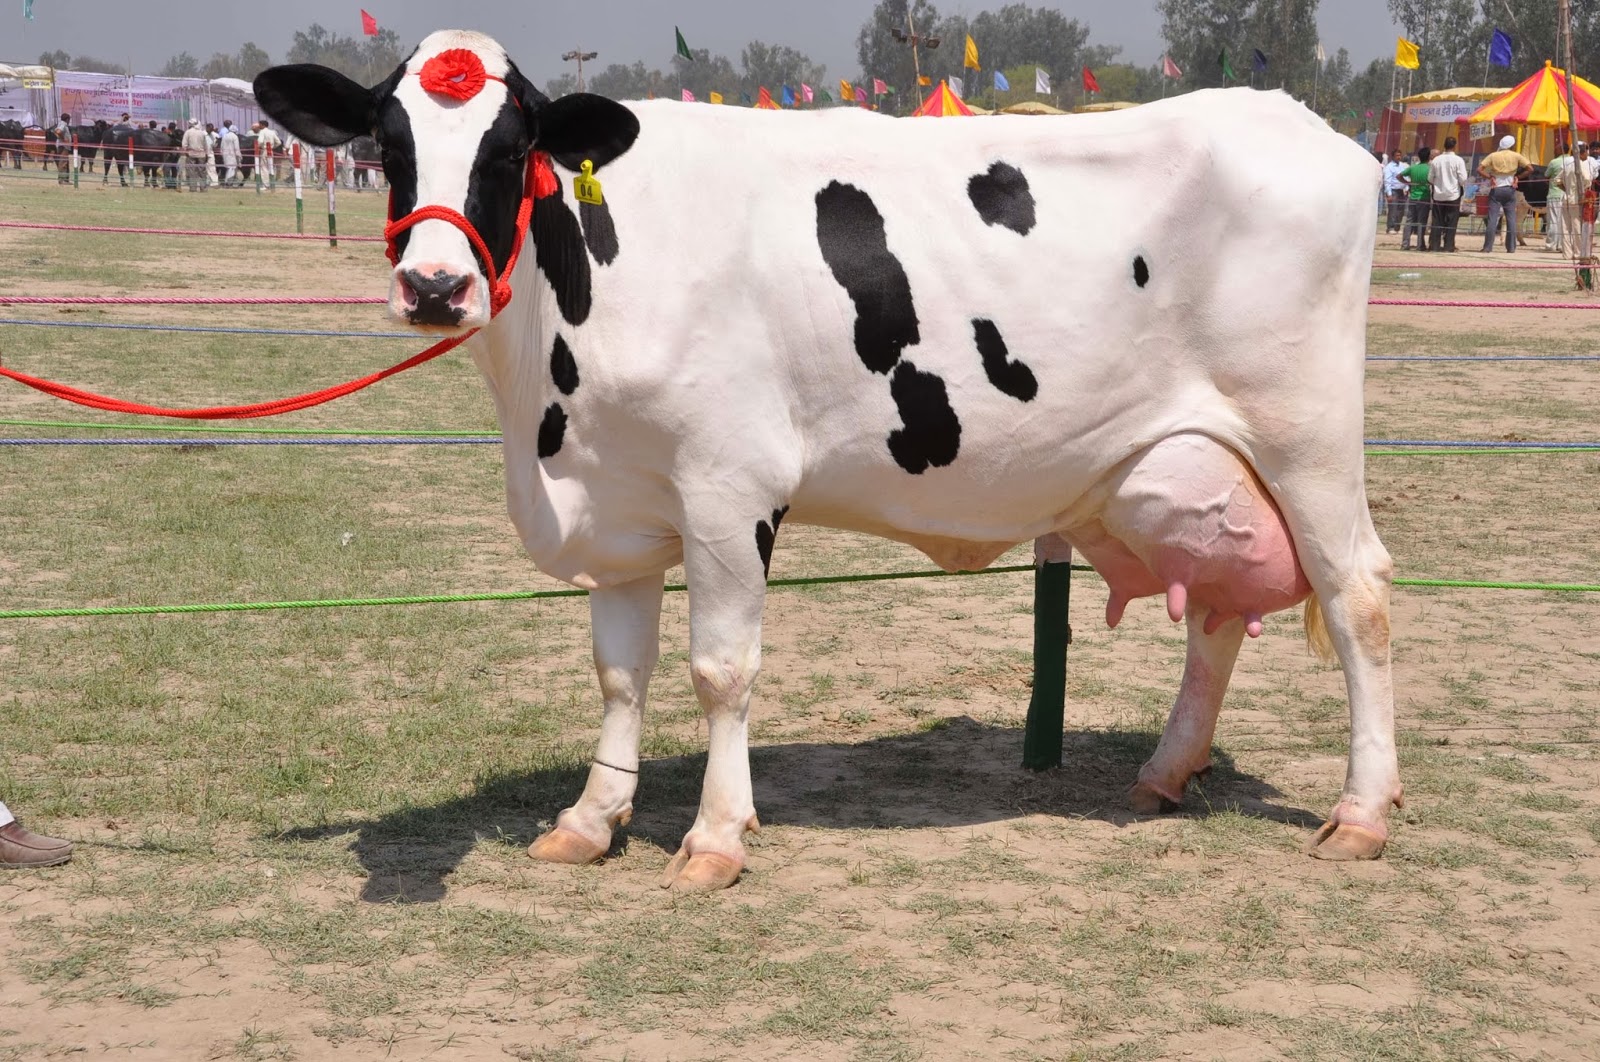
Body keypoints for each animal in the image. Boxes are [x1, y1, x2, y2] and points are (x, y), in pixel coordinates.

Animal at [253, 30, 1399, 892]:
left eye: (511, 145)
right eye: (386, 142)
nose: (434, 286)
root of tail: (1296, 122)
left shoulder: (727, 486)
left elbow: (720, 670)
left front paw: (715, 837)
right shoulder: (617, 497)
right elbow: (620, 671)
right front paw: (591, 816)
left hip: (1305, 439)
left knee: (1359, 597)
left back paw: (1361, 812)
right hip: (1191, 469)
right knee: (1216, 615)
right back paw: (1165, 773)